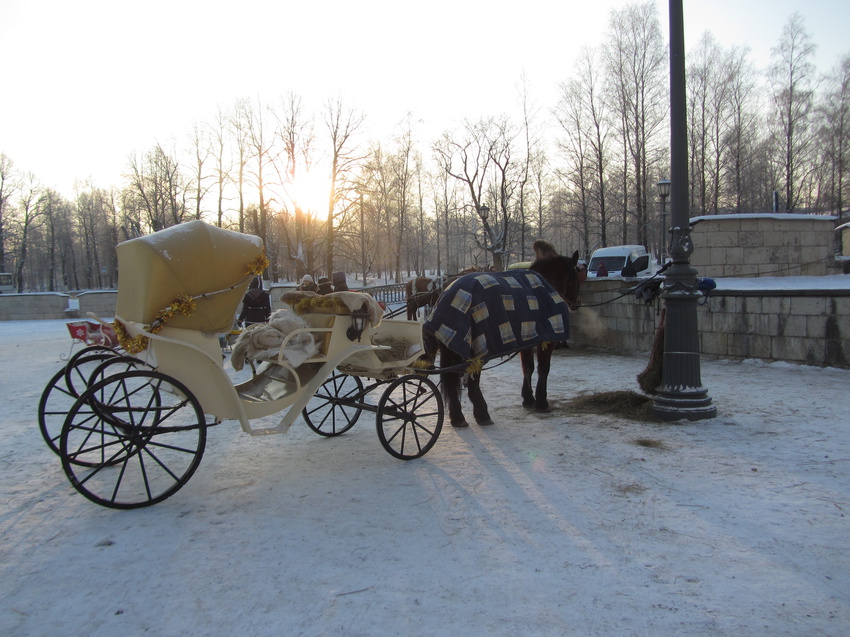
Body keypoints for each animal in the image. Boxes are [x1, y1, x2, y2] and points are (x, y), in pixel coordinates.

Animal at [420, 253, 580, 428]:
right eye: (578, 274)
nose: (577, 303)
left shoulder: (527, 338)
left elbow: (527, 368)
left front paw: (528, 398)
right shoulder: (548, 341)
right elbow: (543, 369)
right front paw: (541, 402)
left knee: (453, 378)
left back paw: (458, 416)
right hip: (478, 348)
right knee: (471, 381)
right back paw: (481, 413)